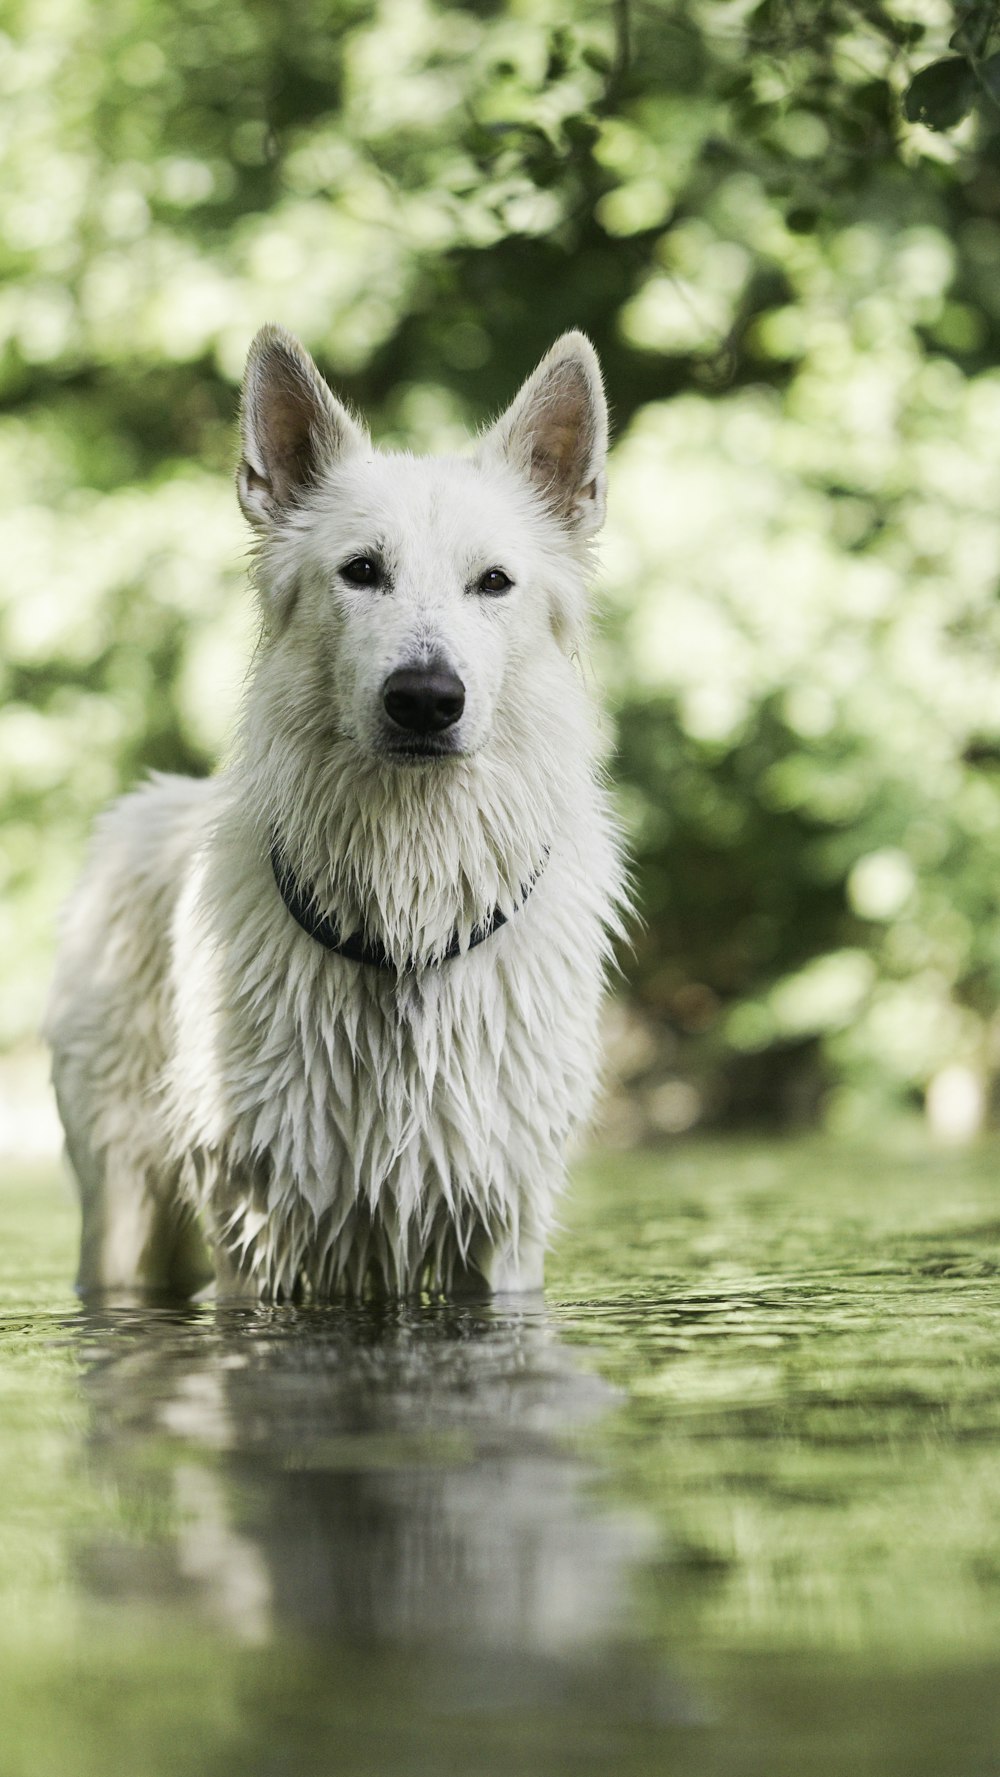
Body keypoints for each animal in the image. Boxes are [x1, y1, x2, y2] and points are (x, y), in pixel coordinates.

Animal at [47, 326, 628, 1300]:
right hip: (122, 1213)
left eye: (494, 582)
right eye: (361, 572)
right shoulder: (259, 1231)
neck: (407, 925)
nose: (425, 698)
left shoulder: (502, 1228)